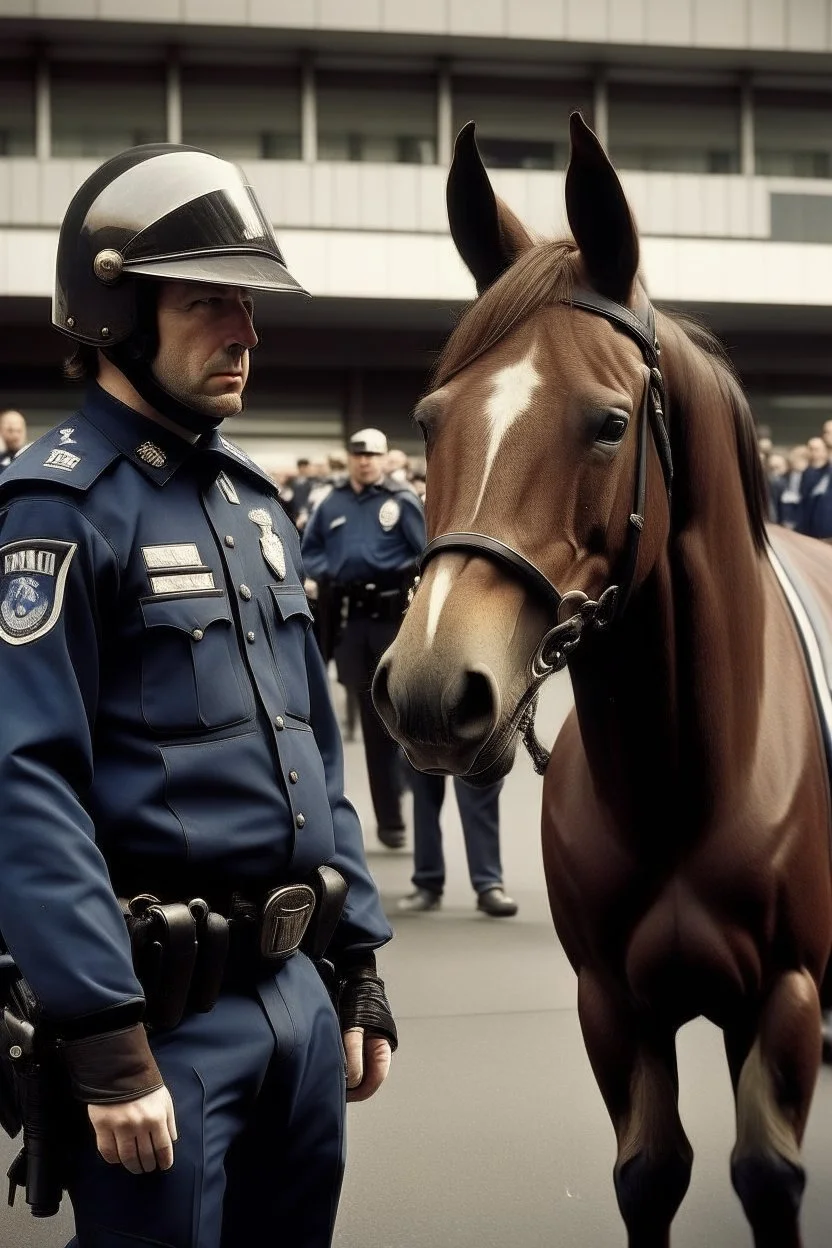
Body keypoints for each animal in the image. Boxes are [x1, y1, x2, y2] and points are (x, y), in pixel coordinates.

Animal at [374, 109, 832, 1248]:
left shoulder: (786, 999)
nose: (432, 685)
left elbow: (768, 1177)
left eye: (611, 424)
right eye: (432, 417)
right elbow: (649, 1175)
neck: (686, 775)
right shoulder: (613, 1006)